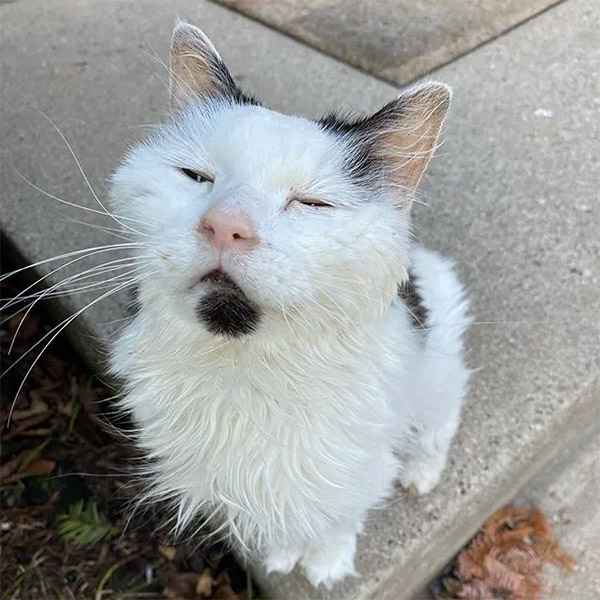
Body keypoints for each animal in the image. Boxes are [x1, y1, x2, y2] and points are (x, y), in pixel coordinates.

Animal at [109, 21, 471, 588]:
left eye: (311, 204)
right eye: (195, 175)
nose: (225, 226)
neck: (244, 374)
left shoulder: (358, 466)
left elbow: (337, 516)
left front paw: (326, 563)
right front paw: (280, 554)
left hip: (436, 381)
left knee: (438, 427)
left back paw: (421, 474)